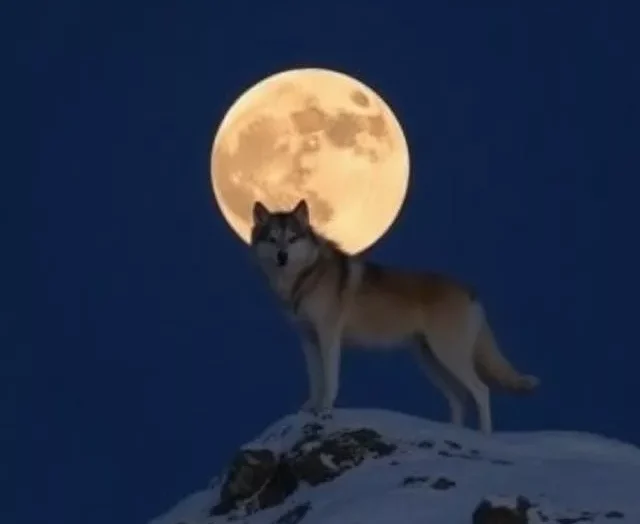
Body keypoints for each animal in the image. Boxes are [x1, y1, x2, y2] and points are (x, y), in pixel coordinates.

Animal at [249, 199, 539, 434]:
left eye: (292, 238)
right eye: (272, 239)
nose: (282, 256)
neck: (304, 279)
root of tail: (471, 291)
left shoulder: (329, 337)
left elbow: (329, 380)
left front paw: (325, 411)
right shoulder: (308, 340)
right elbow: (315, 380)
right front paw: (310, 408)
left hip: (448, 356)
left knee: (482, 391)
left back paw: (485, 438)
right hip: (430, 361)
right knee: (459, 399)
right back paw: (455, 434)